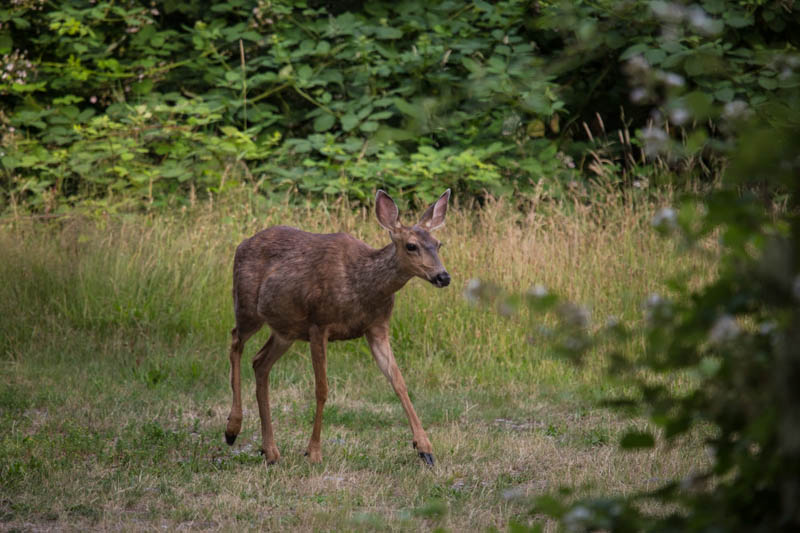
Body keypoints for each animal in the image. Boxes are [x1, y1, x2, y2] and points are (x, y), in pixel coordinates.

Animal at [223, 189, 450, 464]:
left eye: (438, 244)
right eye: (411, 246)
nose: (443, 276)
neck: (363, 286)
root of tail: (241, 244)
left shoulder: (377, 327)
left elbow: (399, 382)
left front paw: (425, 448)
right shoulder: (319, 324)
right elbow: (322, 389)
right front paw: (313, 451)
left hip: (286, 330)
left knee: (260, 362)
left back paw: (271, 451)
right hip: (246, 307)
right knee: (235, 341)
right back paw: (232, 429)